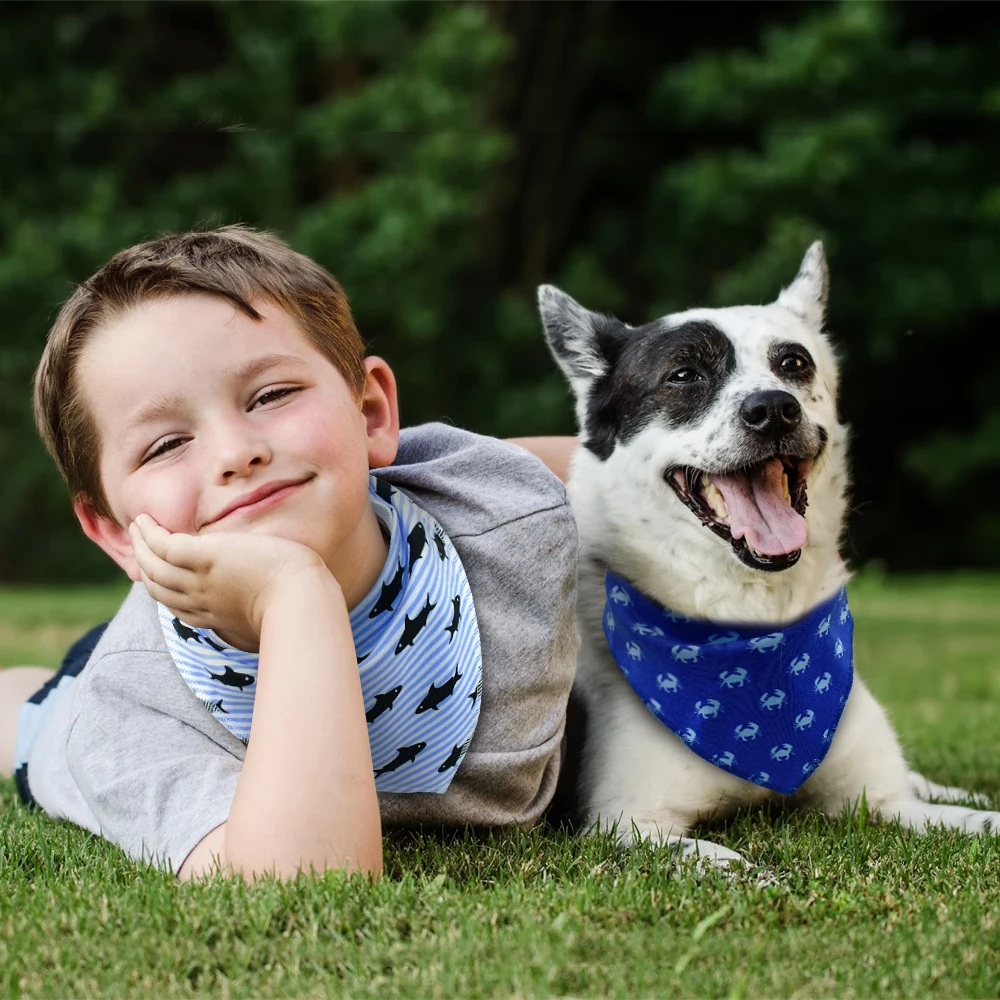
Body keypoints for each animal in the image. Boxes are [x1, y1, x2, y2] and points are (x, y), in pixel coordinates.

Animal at [540, 244, 1000, 868]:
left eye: (795, 364)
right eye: (684, 374)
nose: (774, 410)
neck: (751, 619)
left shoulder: (883, 802)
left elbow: (967, 819)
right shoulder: (627, 823)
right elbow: (725, 863)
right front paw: (756, 876)